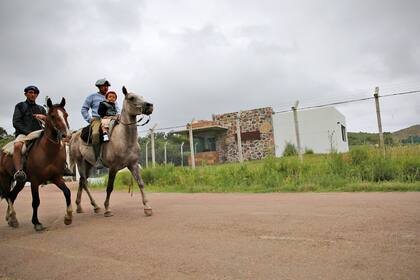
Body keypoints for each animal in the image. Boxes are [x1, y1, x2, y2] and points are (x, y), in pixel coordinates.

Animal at [0, 97, 72, 231]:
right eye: (53, 116)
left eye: (66, 115)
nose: (66, 135)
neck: (47, 152)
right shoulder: (34, 181)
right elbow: (36, 201)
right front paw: (36, 222)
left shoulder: (56, 177)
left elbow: (67, 192)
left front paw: (68, 217)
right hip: (5, 178)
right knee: (7, 195)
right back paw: (12, 216)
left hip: (21, 182)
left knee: (12, 196)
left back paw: (11, 219)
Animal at [69, 86, 153, 218]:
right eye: (131, 98)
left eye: (142, 97)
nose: (149, 106)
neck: (124, 139)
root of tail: (74, 135)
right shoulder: (113, 168)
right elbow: (109, 187)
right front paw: (107, 209)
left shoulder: (133, 165)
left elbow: (141, 183)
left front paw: (147, 208)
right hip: (80, 162)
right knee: (84, 182)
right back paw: (96, 206)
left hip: (88, 164)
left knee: (82, 182)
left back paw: (80, 207)